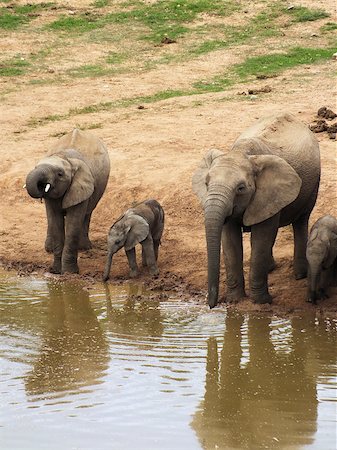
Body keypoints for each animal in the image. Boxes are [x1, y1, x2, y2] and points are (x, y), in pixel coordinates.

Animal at [26, 127, 110, 274]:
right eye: (35, 168)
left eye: (60, 174)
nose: (41, 185)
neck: (64, 157)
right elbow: (55, 222)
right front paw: (56, 271)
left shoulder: (81, 187)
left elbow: (73, 223)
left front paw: (69, 272)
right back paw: (49, 249)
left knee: (87, 214)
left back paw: (85, 247)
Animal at [193, 113, 318, 310]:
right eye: (206, 183)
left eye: (241, 188)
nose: (211, 304)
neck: (243, 153)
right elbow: (230, 241)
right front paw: (235, 300)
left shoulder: (269, 192)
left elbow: (261, 238)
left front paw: (261, 302)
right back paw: (271, 268)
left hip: (313, 184)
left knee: (301, 220)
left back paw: (299, 275)